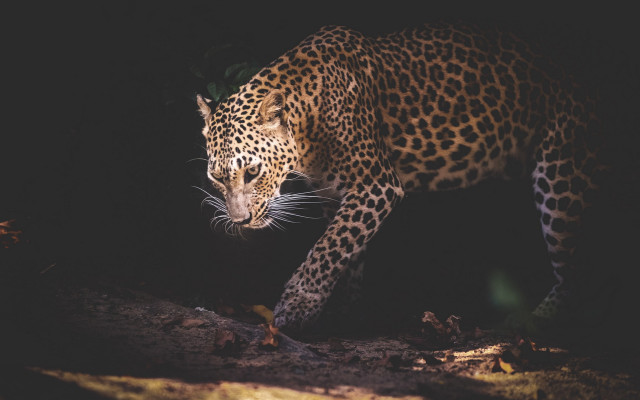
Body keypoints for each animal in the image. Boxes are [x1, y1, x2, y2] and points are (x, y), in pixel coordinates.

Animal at [196, 22, 606, 331]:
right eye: (217, 178)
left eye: (252, 172)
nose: (240, 221)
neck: (307, 121)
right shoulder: (335, 195)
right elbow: (345, 250)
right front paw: (345, 312)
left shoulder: (376, 184)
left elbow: (328, 248)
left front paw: (297, 305)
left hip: (562, 171)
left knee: (576, 275)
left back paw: (533, 325)